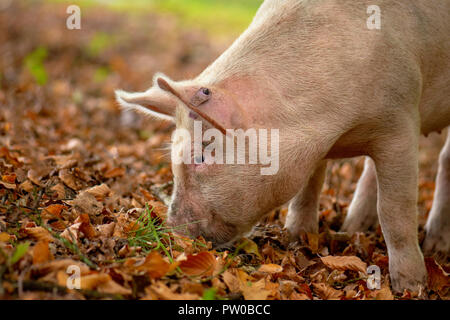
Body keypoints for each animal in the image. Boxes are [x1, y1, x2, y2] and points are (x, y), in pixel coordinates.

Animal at [117, 0, 450, 294]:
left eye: (200, 156)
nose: (171, 232)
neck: (336, 130)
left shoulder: (401, 120)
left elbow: (394, 209)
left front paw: (411, 287)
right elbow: (308, 188)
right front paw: (296, 238)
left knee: (444, 160)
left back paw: (436, 247)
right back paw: (352, 227)